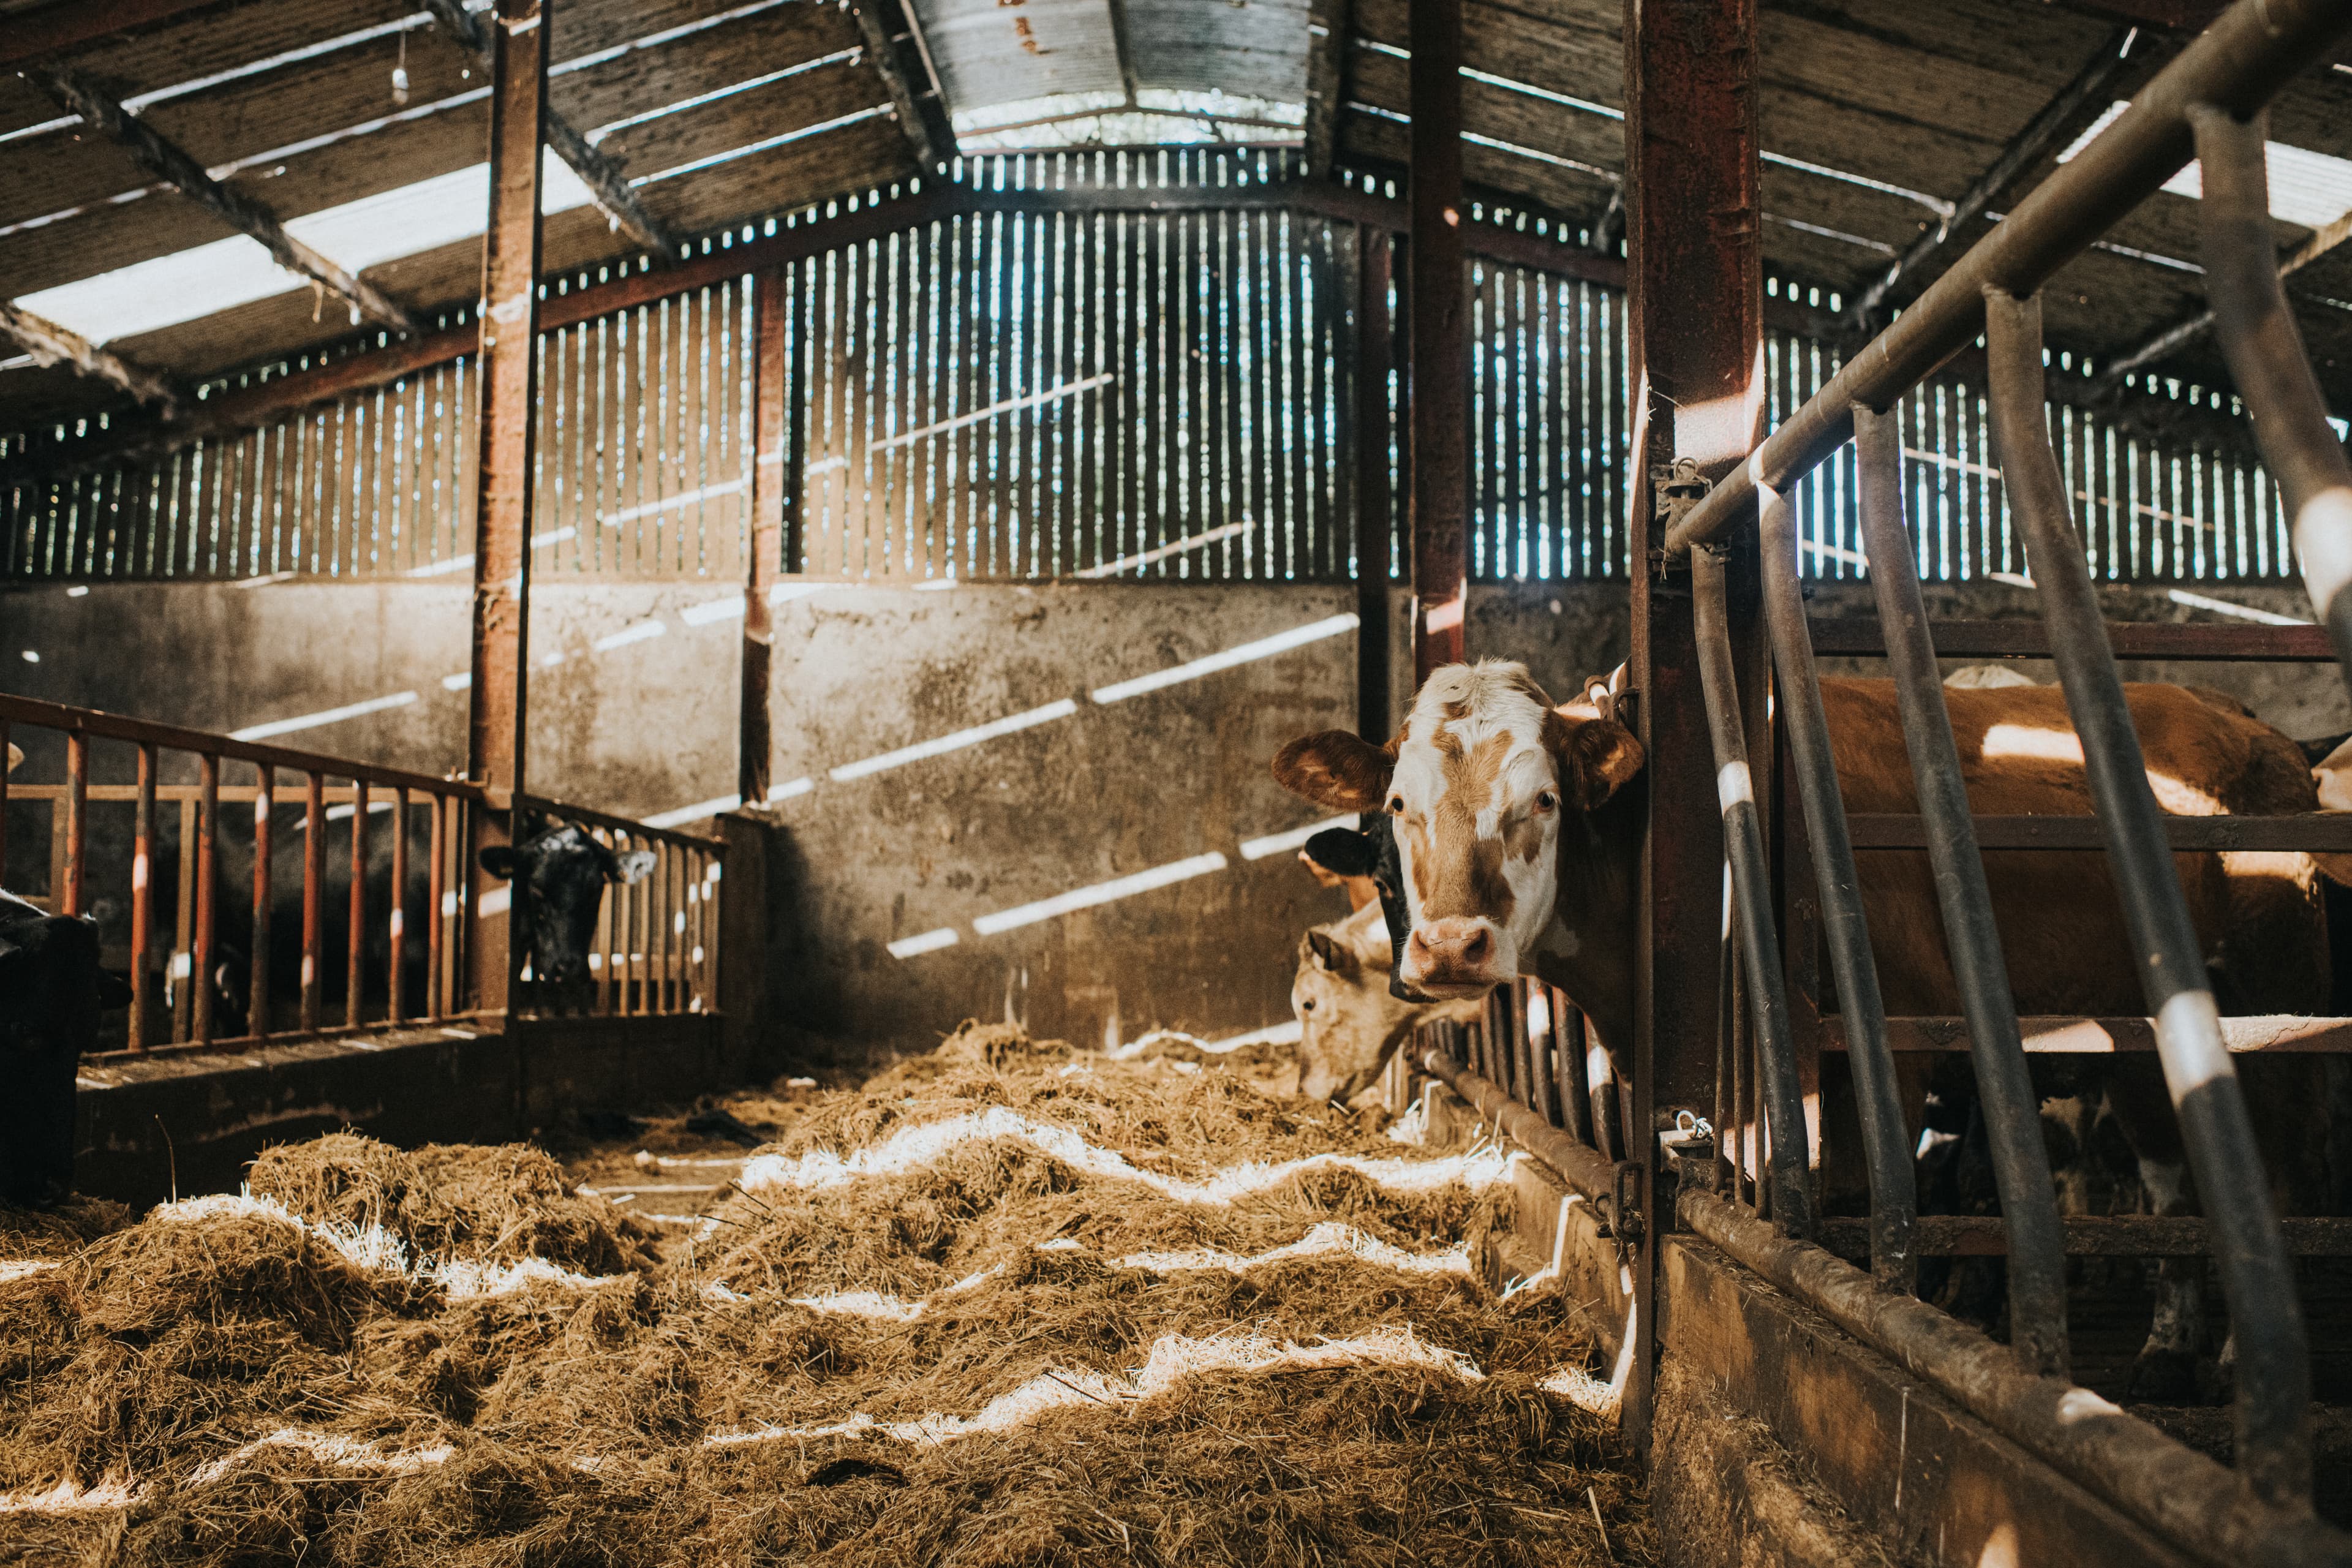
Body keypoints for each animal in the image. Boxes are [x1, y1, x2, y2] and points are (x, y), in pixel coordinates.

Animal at [1289, 658, 2333, 1392]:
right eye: (1397, 804)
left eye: (1542, 798)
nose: (1449, 948)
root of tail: (2251, 727)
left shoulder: (1889, 1065)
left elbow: (1880, 1213)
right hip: (2137, 1041)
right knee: (2170, 1179)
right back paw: (2169, 1350)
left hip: (2277, 1007)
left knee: (2274, 1173)